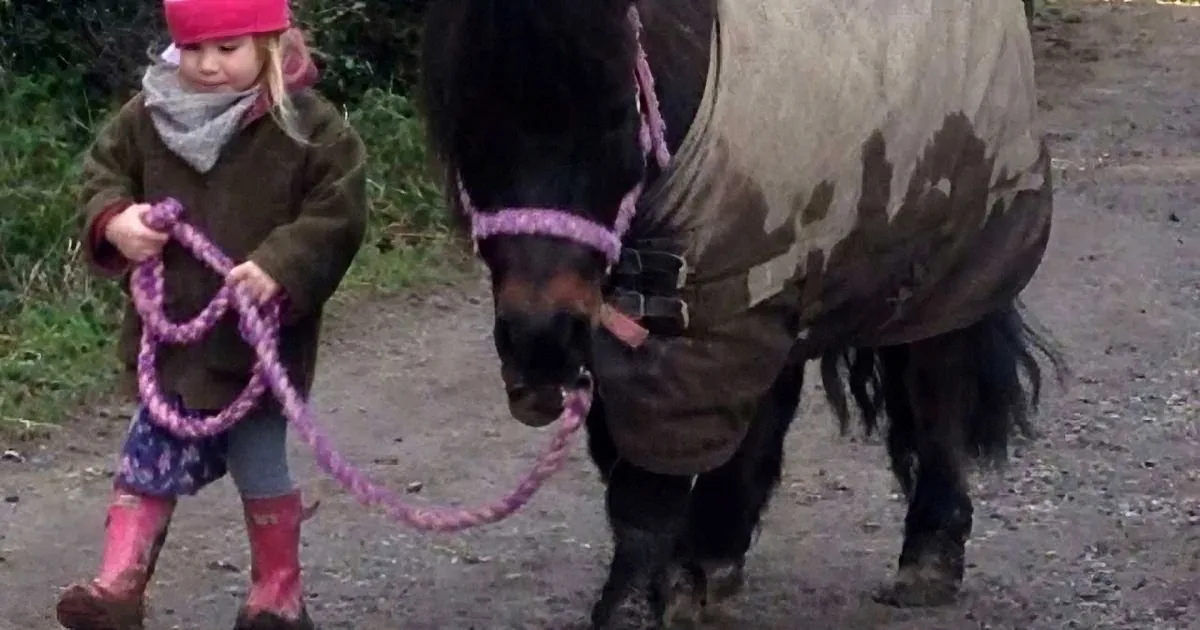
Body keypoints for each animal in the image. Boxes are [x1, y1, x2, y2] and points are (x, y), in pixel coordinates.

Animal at [417, 0, 1067, 626]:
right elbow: (630, 460)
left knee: (936, 389)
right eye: (465, 123)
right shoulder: (649, 330)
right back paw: (717, 558)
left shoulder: (698, 324)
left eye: (615, 117)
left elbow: (646, 487)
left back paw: (928, 558)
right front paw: (678, 580)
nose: (540, 342)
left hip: (946, 266)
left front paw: (634, 604)